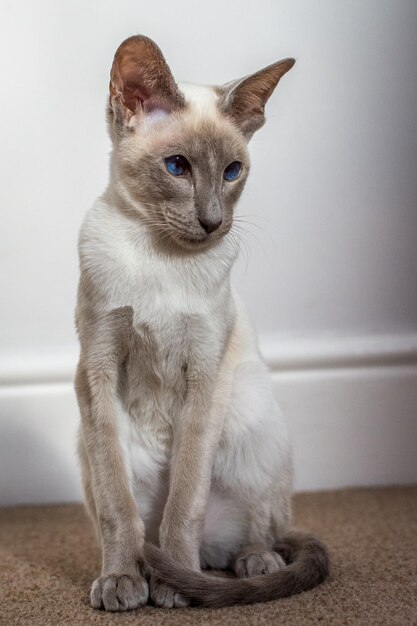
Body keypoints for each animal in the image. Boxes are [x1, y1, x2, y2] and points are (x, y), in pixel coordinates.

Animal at [75, 35, 328, 608]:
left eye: (232, 172)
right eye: (176, 167)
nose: (213, 221)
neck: (158, 256)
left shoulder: (204, 373)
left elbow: (185, 502)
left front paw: (175, 585)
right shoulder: (97, 368)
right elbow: (118, 510)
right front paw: (122, 581)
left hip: (251, 423)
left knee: (262, 534)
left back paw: (242, 565)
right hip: (87, 443)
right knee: (134, 520)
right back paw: (141, 573)